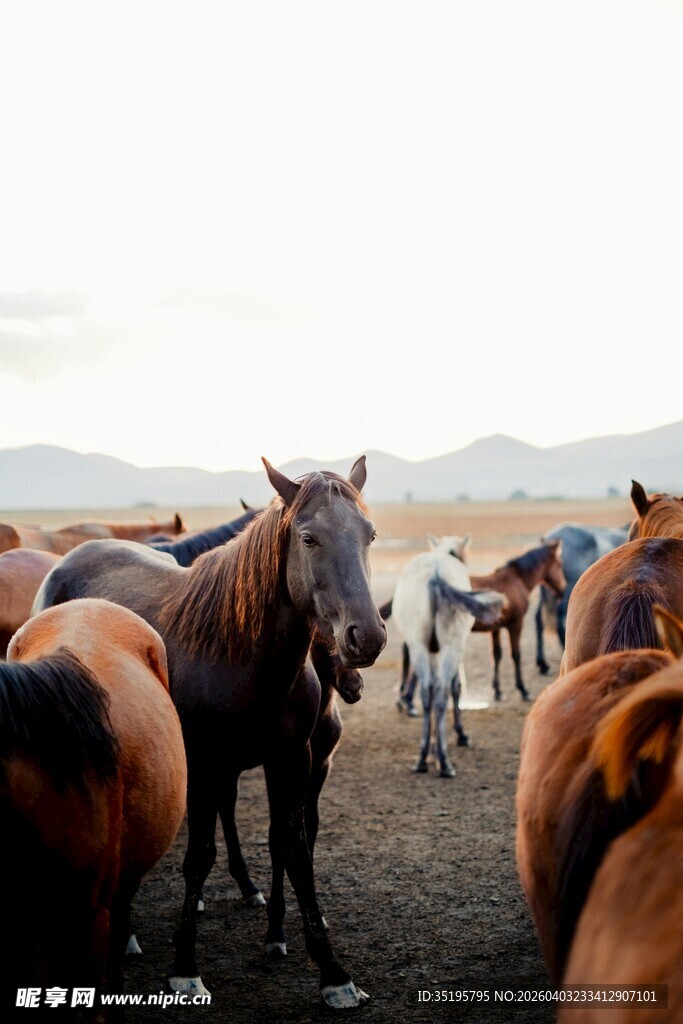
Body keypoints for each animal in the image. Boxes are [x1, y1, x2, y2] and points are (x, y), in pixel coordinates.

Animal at [33, 456, 386, 1010]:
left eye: (369, 534)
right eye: (308, 538)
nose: (366, 636)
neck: (242, 654)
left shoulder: (291, 760)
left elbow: (294, 849)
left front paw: (333, 974)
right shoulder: (202, 764)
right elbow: (199, 857)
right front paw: (184, 968)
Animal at [390, 535, 504, 777]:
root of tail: (436, 575)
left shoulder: (432, 650)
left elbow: (433, 690)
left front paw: (433, 748)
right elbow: (456, 687)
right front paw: (460, 735)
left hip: (420, 647)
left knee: (428, 692)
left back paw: (425, 758)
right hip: (452, 647)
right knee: (443, 691)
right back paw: (443, 760)